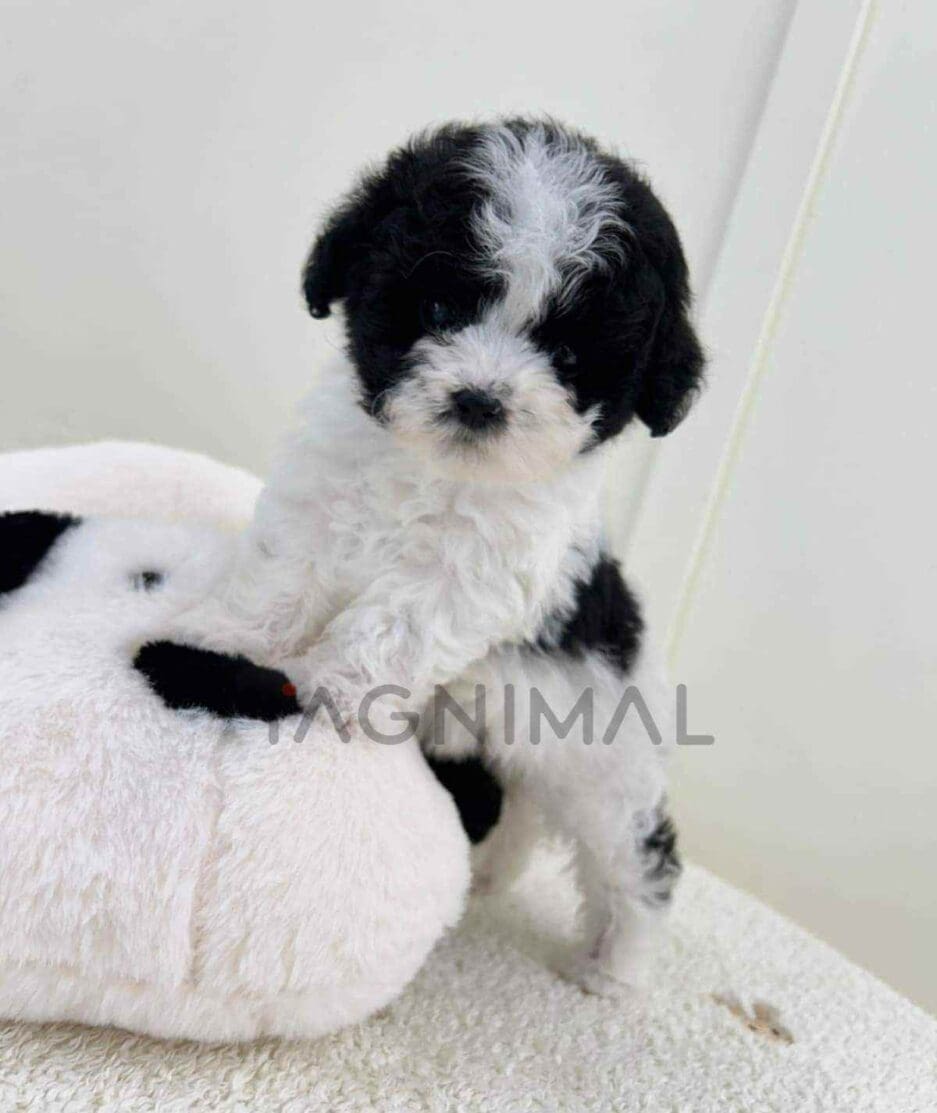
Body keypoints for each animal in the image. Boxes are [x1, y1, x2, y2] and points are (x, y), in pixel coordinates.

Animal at [161, 118, 705, 995]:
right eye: (442, 306)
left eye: (568, 355)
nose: (479, 400)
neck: (434, 468)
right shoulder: (317, 502)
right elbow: (280, 578)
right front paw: (224, 636)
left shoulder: (472, 574)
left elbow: (392, 624)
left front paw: (332, 691)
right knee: (518, 812)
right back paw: (489, 876)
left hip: (604, 766)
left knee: (637, 855)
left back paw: (614, 966)